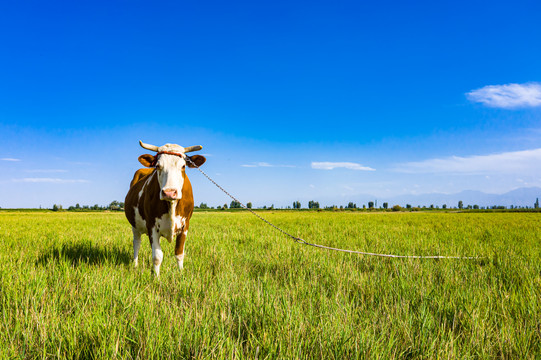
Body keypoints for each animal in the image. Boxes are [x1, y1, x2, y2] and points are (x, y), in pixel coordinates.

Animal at [124, 141, 207, 276]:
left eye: (183, 166)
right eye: (158, 166)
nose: (169, 192)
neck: (171, 204)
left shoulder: (185, 225)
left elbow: (179, 253)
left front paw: (181, 274)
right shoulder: (151, 225)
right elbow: (157, 257)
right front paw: (156, 278)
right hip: (134, 225)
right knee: (136, 243)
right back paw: (135, 265)